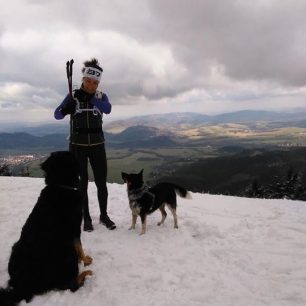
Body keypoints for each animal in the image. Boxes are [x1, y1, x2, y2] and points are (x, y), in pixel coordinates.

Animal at [0, 151, 92, 306]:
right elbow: (80, 247)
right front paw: (85, 260)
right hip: (67, 253)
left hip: (15, 247)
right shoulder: (74, 229)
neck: (60, 186)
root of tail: (23, 286)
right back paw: (85, 274)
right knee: (70, 286)